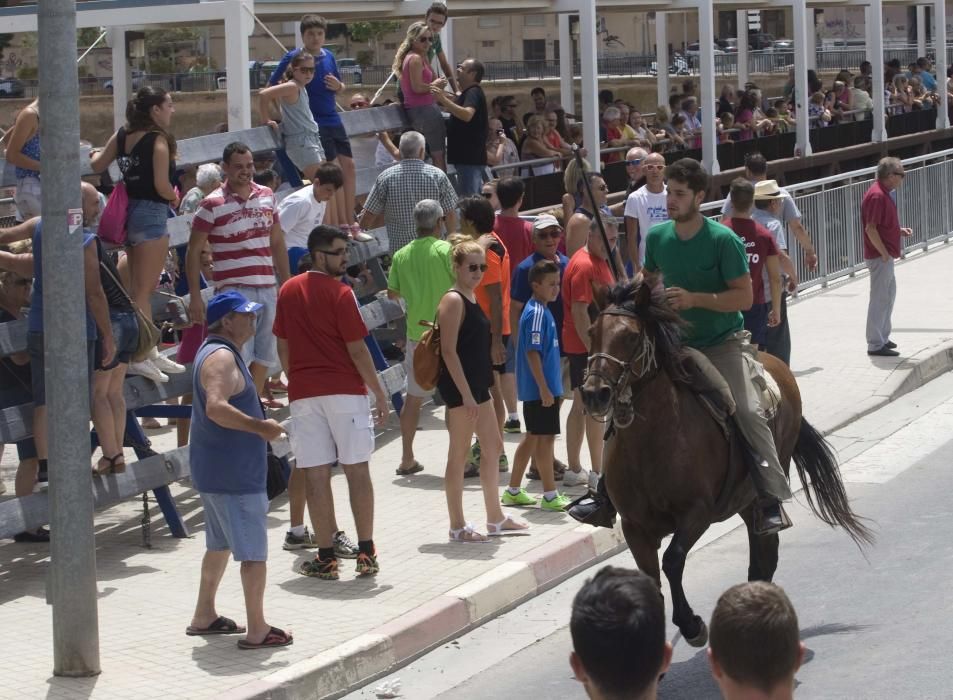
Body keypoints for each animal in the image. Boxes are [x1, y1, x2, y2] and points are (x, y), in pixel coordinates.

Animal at [576, 278, 872, 644]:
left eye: (631, 336)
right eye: (592, 331)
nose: (594, 393)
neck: (651, 443)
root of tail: (774, 361)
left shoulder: (697, 513)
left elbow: (673, 560)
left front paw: (691, 625)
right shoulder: (634, 525)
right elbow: (650, 579)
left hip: (761, 491)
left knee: (765, 549)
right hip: (743, 500)